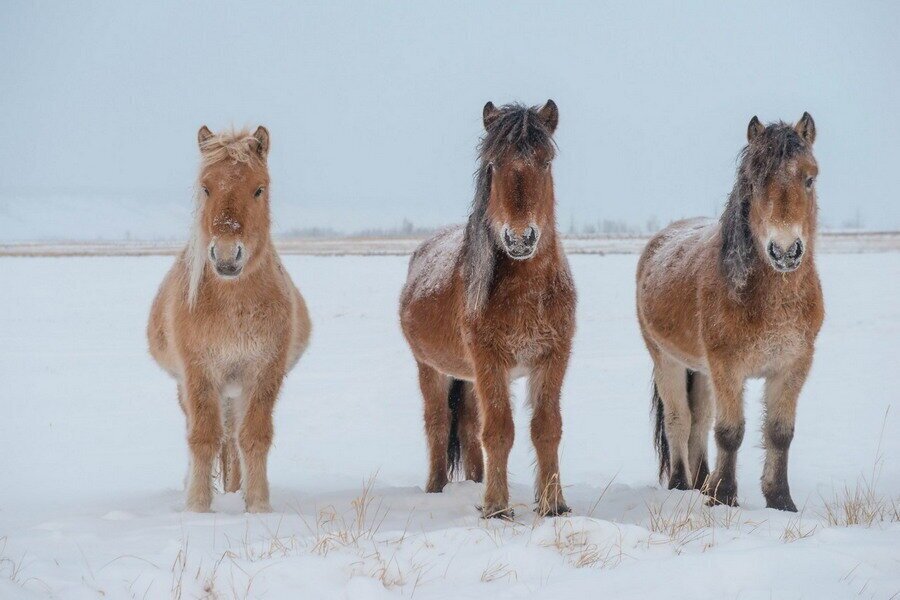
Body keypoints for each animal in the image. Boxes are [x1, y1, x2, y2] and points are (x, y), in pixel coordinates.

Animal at [400, 101, 576, 516]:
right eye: (493, 164)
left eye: (546, 161)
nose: (520, 238)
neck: (527, 295)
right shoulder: (489, 360)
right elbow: (498, 430)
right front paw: (497, 508)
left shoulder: (553, 357)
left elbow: (546, 428)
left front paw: (553, 505)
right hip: (431, 368)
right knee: (437, 423)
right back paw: (437, 488)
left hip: (467, 376)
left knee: (466, 424)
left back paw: (475, 483)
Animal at [640, 112, 824, 510]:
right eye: (753, 182)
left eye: (809, 178)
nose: (785, 251)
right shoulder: (727, 367)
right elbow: (729, 432)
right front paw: (723, 497)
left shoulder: (792, 366)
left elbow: (779, 433)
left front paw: (780, 500)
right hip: (667, 359)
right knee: (679, 419)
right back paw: (681, 484)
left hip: (700, 369)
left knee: (699, 419)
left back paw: (701, 481)